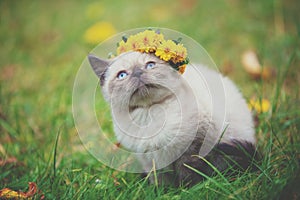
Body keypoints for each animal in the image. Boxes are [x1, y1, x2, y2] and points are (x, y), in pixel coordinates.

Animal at [88, 51, 258, 186]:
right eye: (122, 75)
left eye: (150, 65)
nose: (137, 73)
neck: (149, 113)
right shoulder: (150, 158)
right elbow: (160, 180)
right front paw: (162, 192)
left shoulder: (192, 146)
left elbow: (187, 173)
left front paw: (187, 190)